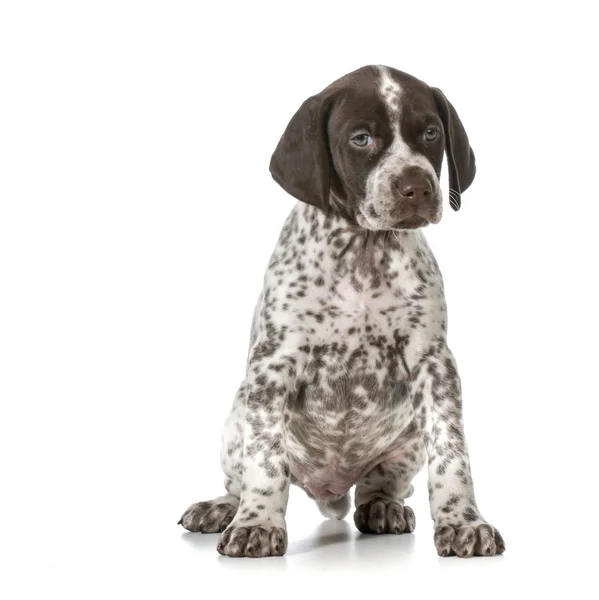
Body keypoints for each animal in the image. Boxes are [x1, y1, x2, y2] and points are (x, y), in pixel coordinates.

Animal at [179, 65, 506, 556]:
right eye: (361, 139)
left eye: (431, 133)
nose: (417, 187)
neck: (364, 251)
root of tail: (329, 492)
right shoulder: (273, 365)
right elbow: (266, 461)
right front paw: (257, 523)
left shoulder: (434, 364)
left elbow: (452, 453)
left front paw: (464, 522)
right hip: (236, 421)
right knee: (241, 478)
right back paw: (222, 508)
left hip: (406, 442)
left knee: (380, 487)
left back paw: (384, 507)